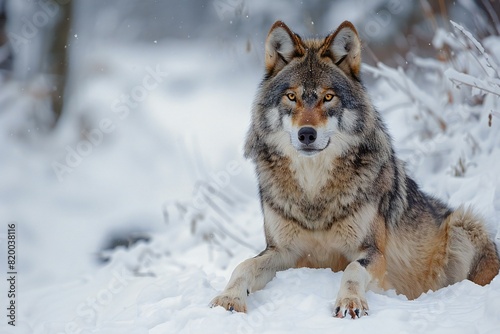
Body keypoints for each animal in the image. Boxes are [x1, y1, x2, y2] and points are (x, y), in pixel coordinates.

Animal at [209, 20, 498, 318]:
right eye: (291, 96)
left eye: (328, 97)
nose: (306, 134)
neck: (314, 192)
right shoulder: (282, 252)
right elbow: (243, 266)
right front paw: (228, 298)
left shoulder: (372, 252)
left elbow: (351, 270)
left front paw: (350, 302)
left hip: (465, 223)